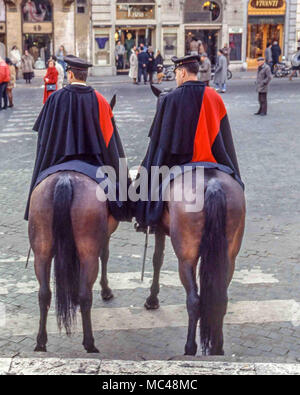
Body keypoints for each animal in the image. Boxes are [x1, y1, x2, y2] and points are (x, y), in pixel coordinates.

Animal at [28, 172, 117, 352]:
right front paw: (106, 290)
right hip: (89, 253)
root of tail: (65, 178)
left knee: (44, 294)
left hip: (41, 251)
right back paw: (89, 343)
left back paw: (41, 341)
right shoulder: (105, 235)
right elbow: (105, 255)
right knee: (85, 295)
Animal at [144, 87, 246, 358]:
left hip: (186, 255)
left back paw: (190, 348)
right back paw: (218, 348)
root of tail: (212, 184)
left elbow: (157, 259)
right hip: (228, 254)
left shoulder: (160, 228)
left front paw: (152, 299)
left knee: (194, 300)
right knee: (220, 297)